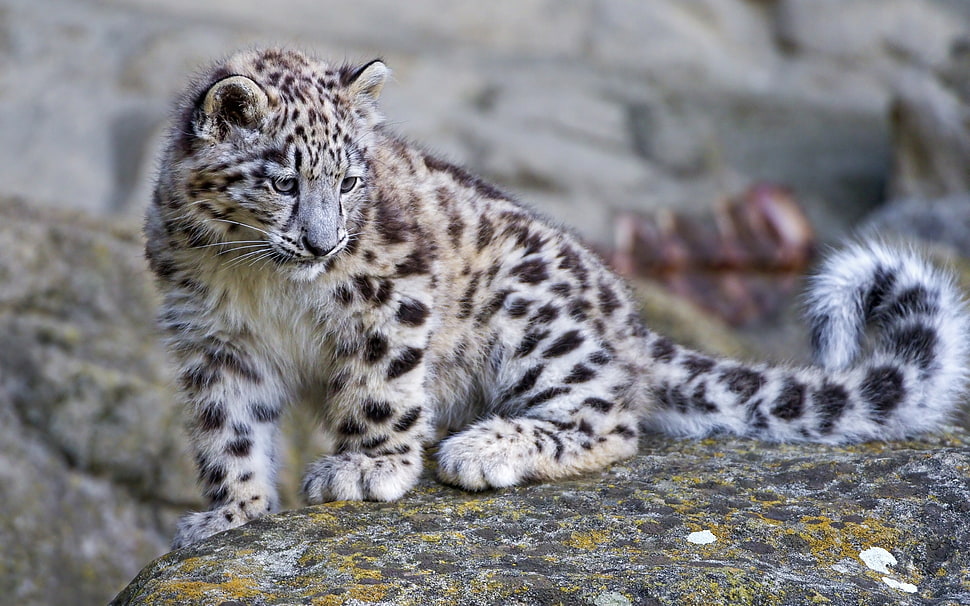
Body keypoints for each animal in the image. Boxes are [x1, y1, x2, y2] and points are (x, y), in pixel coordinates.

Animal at [144, 48, 970, 549]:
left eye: (348, 181)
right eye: (285, 181)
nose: (323, 244)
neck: (263, 281)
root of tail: (629, 321)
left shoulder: (393, 293)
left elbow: (380, 389)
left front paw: (367, 466)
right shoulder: (215, 343)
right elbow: (229, 431)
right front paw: (230, 514)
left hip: (531, 315)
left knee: (610, 421)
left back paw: (483, 447)